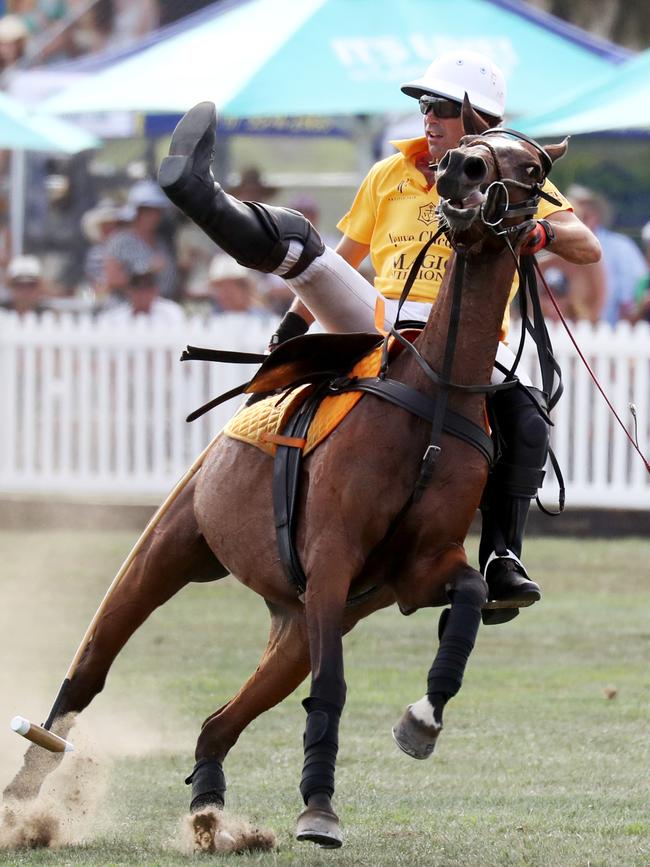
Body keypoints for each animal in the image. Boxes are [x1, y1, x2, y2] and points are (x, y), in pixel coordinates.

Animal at [2, 105, 564, 852]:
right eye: (470, 144)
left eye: (532, 164)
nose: (459, 172)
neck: (434, 396)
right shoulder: (331, 559)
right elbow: (333, 688)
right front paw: (320, 809)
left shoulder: (413, 573)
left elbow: (470, 594)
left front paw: (422, 717)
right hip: (169, 548)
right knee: (90, 667)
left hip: (296, 623)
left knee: (220, 718)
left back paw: (210, 812)